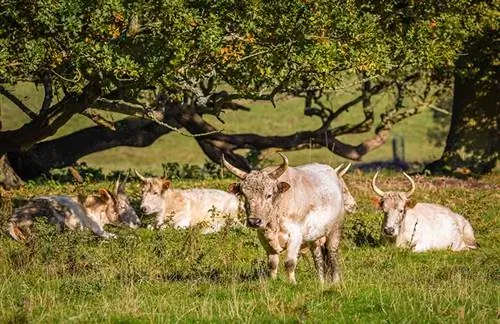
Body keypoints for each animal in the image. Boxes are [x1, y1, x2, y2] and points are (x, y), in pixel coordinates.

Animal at [223, 154, 344, 284]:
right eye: (245, 195)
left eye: (269, 195)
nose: (254, 221)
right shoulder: (263, 237)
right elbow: (272, 263)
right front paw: (273, 280)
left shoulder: (295, 235)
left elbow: (290, 263)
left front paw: (292, 283)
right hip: (315, 236)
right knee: (318, 257)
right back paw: (321, 282)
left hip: (335, 228)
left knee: (332, 254)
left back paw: (335, 282)